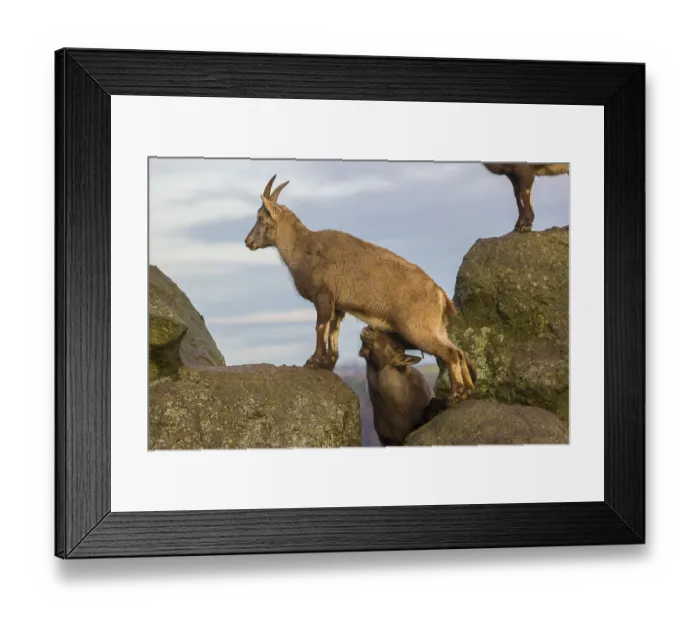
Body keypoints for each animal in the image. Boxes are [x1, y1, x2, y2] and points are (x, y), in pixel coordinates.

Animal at [244, 175, 475, 404]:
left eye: (260, 217)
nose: (248, 241)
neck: (301, 248)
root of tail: (440, 295)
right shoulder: (338, 306)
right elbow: (333, 331)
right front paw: (328, 363)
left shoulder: (323, 296)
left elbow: (320, 327)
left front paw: (313, 361)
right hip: (437, 329)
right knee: (459, 352)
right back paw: (468, 390)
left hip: (417, 328)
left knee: (450, 353)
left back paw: (456, 393)